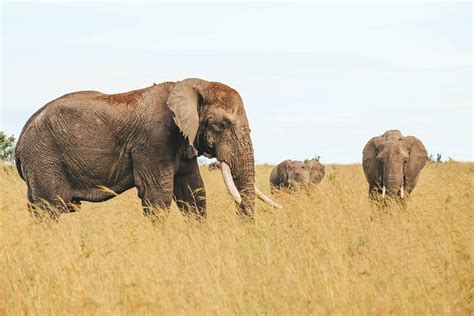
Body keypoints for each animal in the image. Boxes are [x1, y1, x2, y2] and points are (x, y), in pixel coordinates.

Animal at [16, 78, 280, 218]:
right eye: (222, 125)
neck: (193, 85)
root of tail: (20, 140)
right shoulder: (154, 140)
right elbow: (157, 195)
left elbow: (193, 191)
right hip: (44, 157)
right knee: (50, 208)